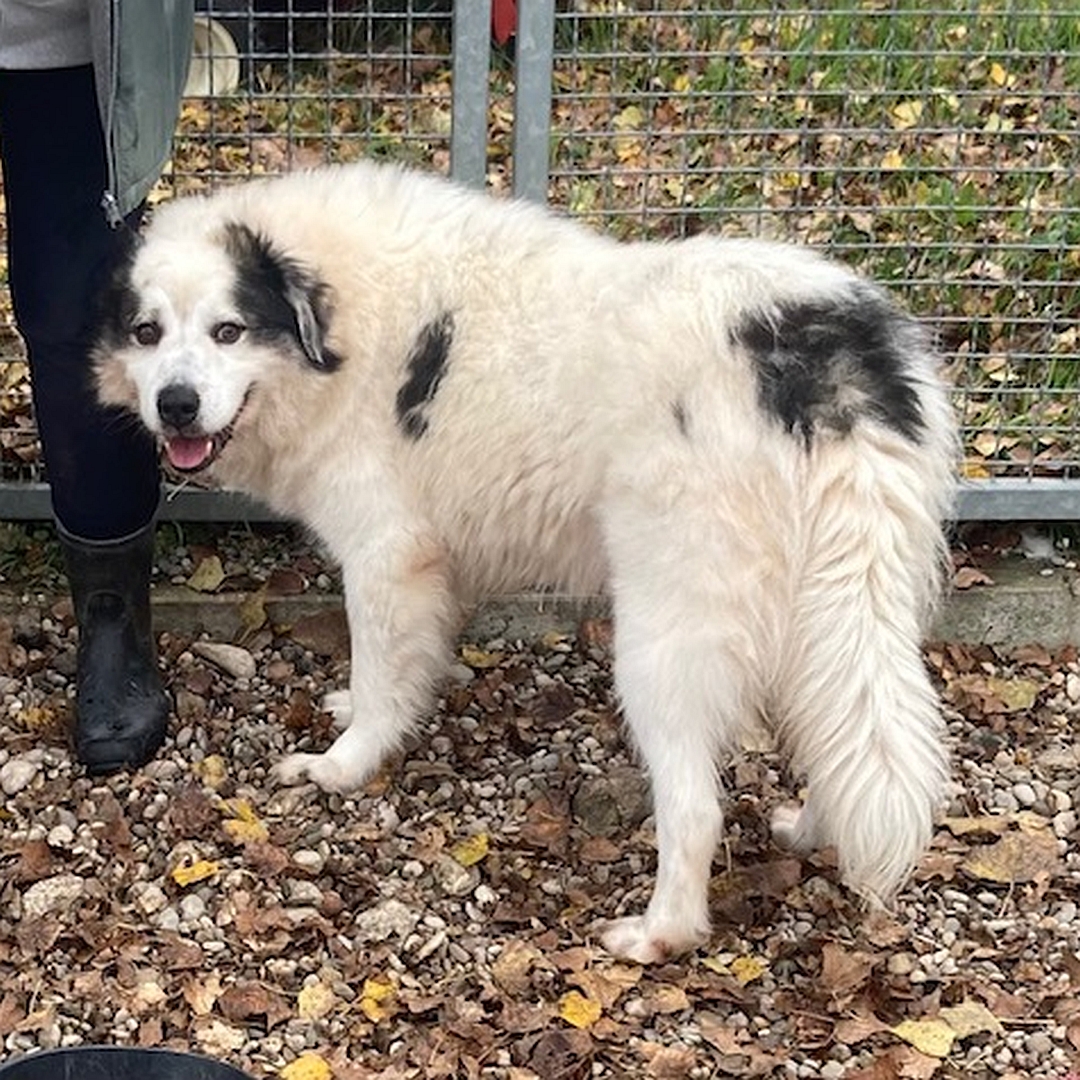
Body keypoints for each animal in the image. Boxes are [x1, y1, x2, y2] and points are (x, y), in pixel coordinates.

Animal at [92, 159, 954, 963]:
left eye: (228, 330)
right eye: (147, 333)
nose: (174, 404)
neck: (345, 324)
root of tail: (828, 359)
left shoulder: (385, 557)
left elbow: (379, 681)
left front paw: (342, 765)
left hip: (664, 637)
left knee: (696, 807)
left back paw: (660, 933)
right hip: (836, 610)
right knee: (841, 726)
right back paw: (809, 830)